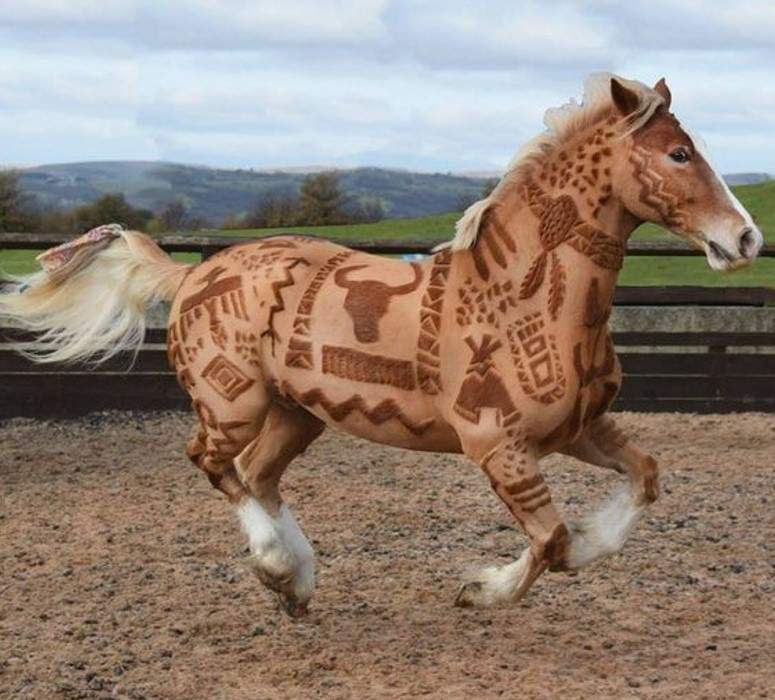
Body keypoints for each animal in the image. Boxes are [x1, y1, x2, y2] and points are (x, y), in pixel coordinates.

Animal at [0, 74, 762, 617]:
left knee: (259, 476)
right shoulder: (498, 447)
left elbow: (642, 482)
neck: (520, 296)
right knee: (217, 466)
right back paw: (277, 564)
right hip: (231, 403)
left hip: (297, 413)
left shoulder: (578, 429)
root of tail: (192, 273)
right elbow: (552, 542)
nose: (746, 238)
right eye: (678, 153)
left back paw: (295, 582)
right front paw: (479, 589)